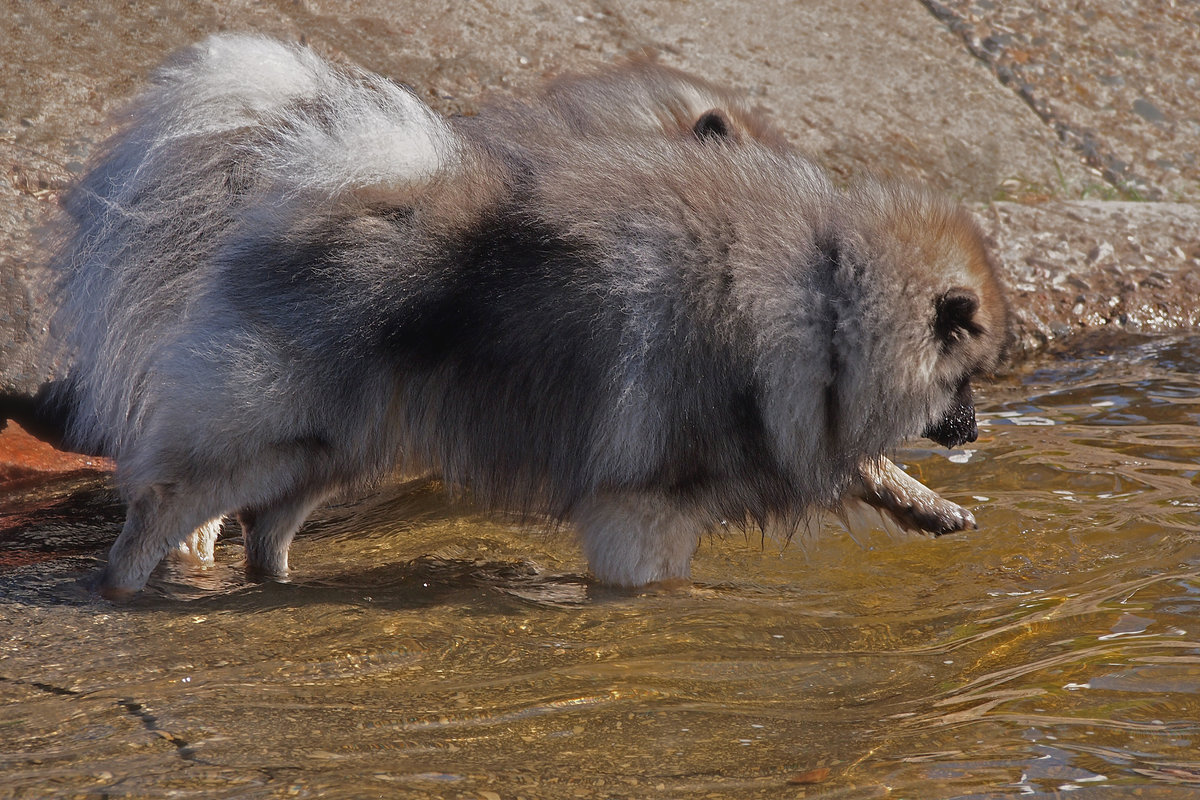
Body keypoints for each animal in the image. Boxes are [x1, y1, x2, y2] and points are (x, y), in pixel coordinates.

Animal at [25, 37, 1012, 597]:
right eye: (967, 379)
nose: (974, 431)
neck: (821, 301)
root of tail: (295, 201)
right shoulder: (640, 507)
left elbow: (869, 469)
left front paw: (931, 507)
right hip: (261, 436)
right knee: (159, 514)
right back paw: (128, 593)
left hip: (332, 448)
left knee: (267, 529)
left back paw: (274, 587)